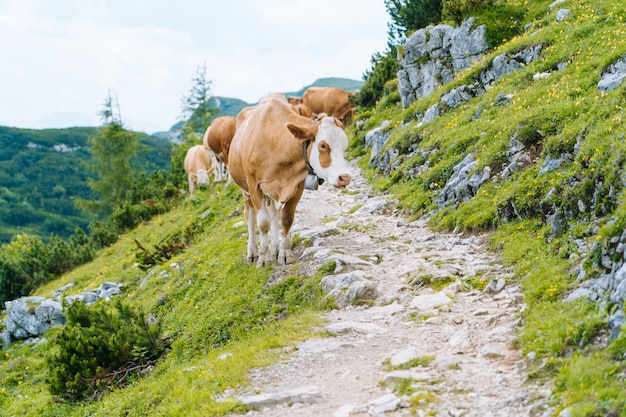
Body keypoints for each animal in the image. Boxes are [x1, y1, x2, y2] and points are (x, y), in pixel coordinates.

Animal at [227, 96, 352, 266]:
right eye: (323, 145)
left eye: (345, 145)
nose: (345, 177)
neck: (275, 144)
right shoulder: (254, 185)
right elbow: (263, 223)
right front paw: (263, 258)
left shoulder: (297, 185)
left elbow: (286, 218)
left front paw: (284, 253)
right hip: (245, 189)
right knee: (250, 216)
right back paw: (253, 252)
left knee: (274, 212)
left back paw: (274, 248)